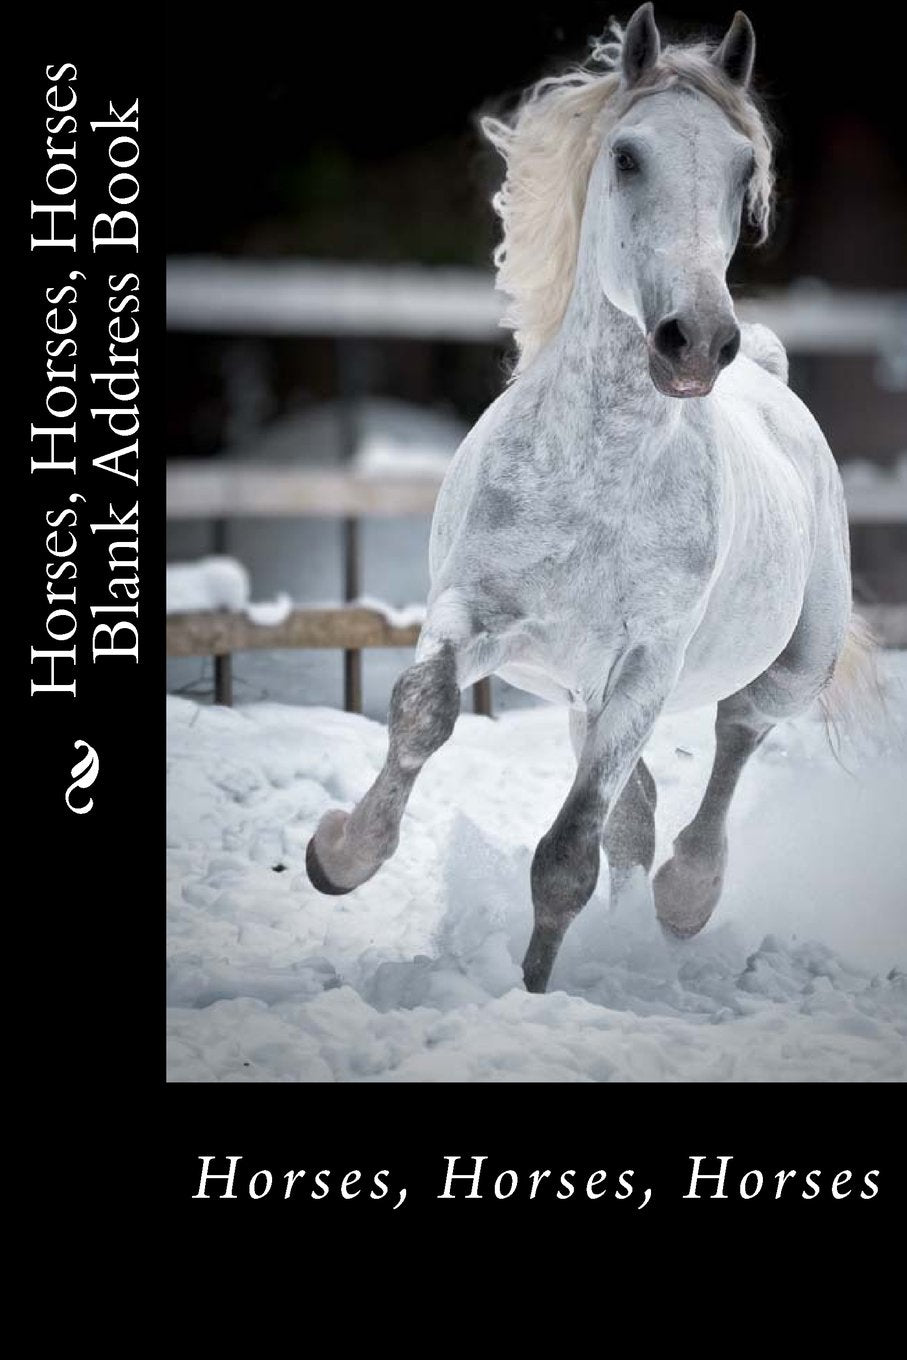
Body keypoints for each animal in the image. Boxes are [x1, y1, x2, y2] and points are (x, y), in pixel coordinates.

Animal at [306, 5, 875, 995]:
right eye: (626, 156)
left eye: (743, 171)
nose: (697, 341)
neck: (597, 478)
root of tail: (769, 375)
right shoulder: (472, 609)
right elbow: (423, 710)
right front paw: (338, 855)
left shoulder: (645, 665)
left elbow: (567, 850)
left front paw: (531, 993)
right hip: (577, 691)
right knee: (638, 808)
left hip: (781, 667)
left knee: (734, 738)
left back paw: (686, 899)